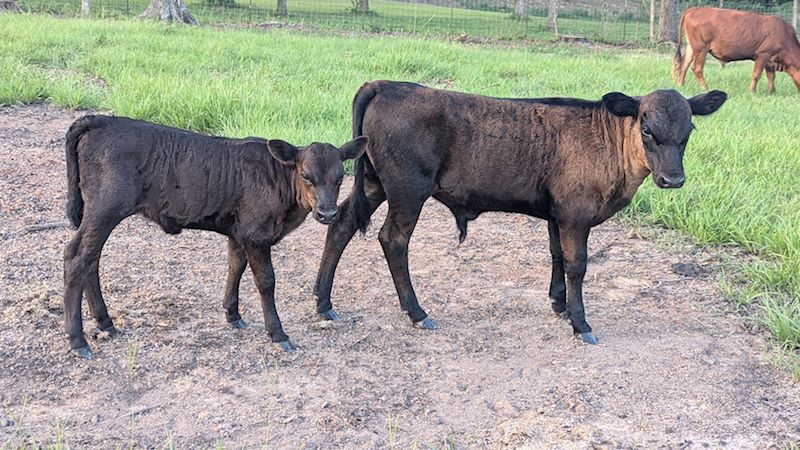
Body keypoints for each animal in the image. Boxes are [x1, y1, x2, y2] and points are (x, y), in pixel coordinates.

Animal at [63, 115, 367, 357]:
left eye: (340, 177)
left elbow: (235, 266)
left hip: (99, 213)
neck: (278, 182)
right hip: (105, 208)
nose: (328, 214)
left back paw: (105, 322)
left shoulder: (239, 232)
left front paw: (233, 315)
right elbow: (266, 281)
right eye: (306, 175)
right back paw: (78, 340)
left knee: (91, 259)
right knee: (77, 258)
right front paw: (277, 333)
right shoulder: (257, 234)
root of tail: (100, 120)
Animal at [312, 81, 726, 344]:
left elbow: (556, 255)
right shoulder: (576, 213)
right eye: (646, 127)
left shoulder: (557, 214)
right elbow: (578, 265)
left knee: (342, 224)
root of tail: (385, 84)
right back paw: (416, 311)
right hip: (407, 189)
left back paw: (323, 302)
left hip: (374, 183)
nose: (672, 179)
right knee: (393, 239)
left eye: (689, 129)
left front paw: (559, 304)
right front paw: (581, 323)